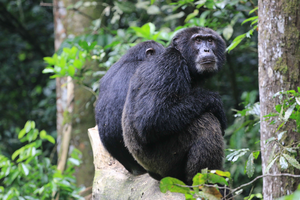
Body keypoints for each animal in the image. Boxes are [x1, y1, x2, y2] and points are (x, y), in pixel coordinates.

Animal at [122, 27, 227, 185]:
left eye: (210, 40)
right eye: (197, 40)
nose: (206, 49)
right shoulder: (170, 64)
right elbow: (151, 118)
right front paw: (215, 102)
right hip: (165, 160)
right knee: (207, 123)